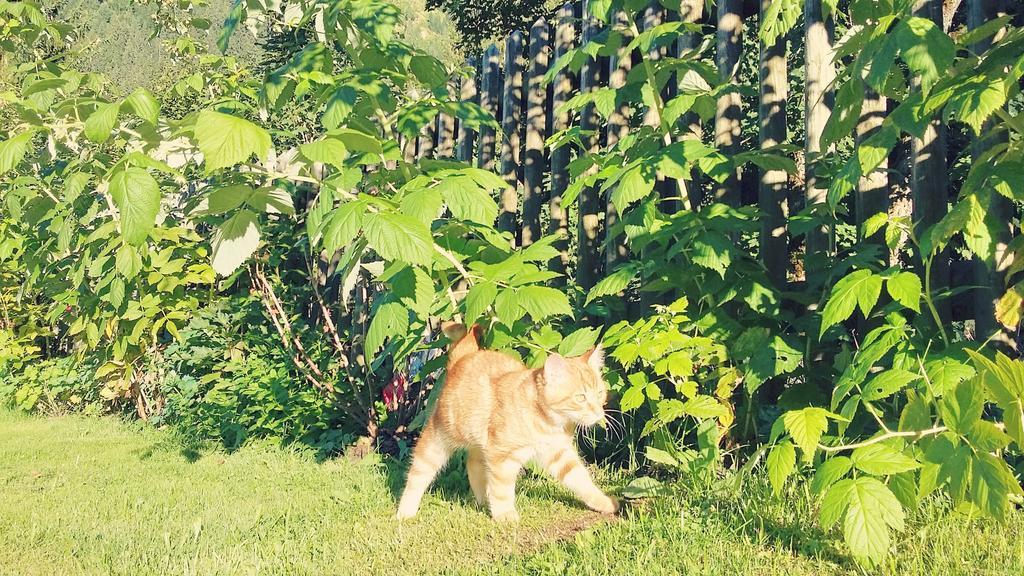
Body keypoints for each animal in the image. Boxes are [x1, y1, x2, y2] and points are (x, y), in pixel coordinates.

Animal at [393, 319, 614, 518]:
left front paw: (603, 502)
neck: (546, 421)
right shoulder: (503, 457)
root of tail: (465, 356)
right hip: (439, 439)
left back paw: (483, 502)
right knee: (419, 473)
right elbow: (502, 490)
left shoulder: (558, 453)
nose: (599, 413)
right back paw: (405, 512)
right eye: (581, 397)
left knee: (473, 465)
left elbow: (580, 479)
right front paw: (505, 515)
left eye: (600, 393)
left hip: (479, 442)